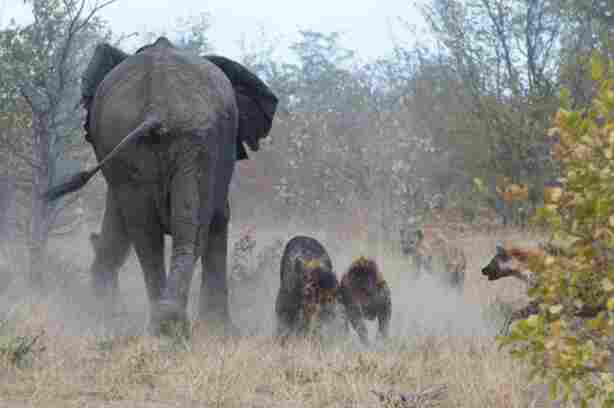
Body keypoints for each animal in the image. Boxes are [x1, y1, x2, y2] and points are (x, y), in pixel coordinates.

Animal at [44, 36, 278, 335]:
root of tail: (157, 107)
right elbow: (219, 218)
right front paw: (222, 332)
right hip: (196, 143)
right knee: (186, 229)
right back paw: (169, 323)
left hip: (147, 140)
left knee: (148, 231)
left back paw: (162, 323)